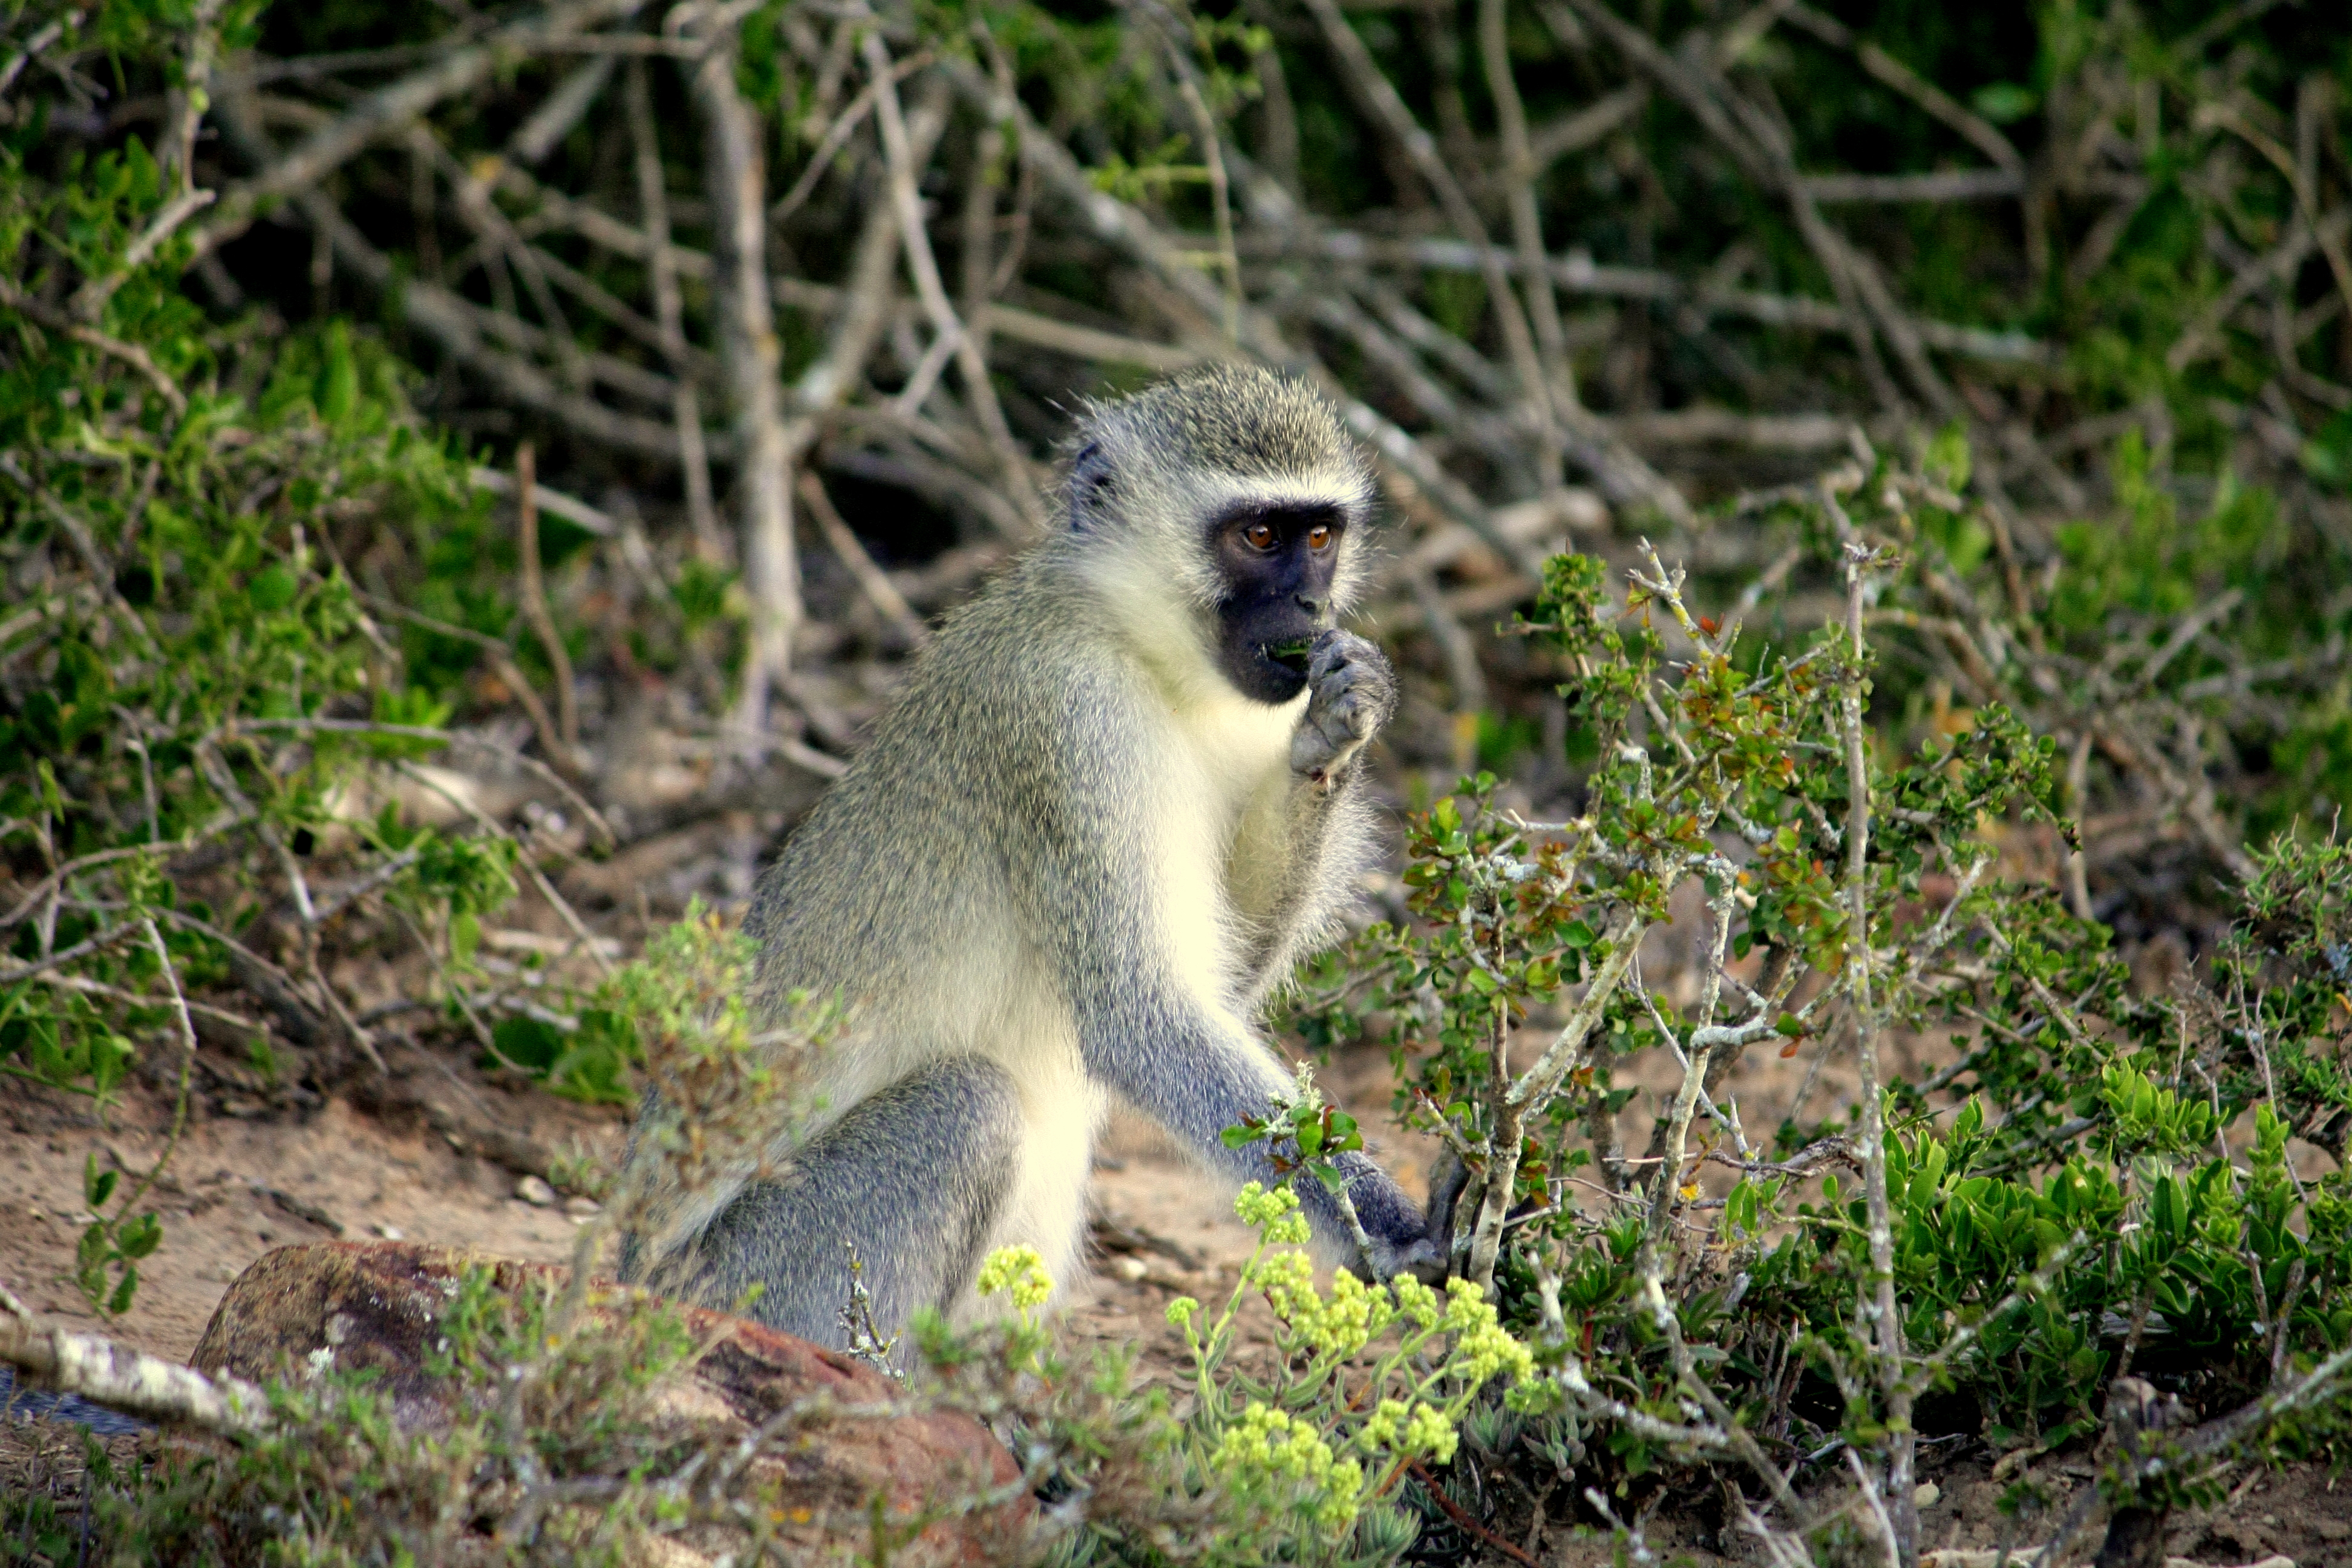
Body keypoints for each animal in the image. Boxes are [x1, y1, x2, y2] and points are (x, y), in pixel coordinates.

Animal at [617, 365, 1443, 1352]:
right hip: (739, 1284)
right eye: (1257, 536)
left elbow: (1226, 980)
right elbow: (1142, 1014)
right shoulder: (1067, 719)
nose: (1313, 609)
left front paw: (1336, 728)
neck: (1143, 650)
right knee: (967, 1110)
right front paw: (1393, 1230)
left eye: (1320, 537)